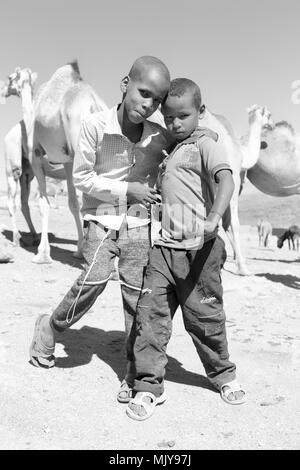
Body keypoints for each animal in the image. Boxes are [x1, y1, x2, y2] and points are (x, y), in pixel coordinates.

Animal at [2, 61, 108, 264]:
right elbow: (73, 203)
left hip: (15, 169)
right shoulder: (68, 161)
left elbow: (44, 204)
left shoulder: (35, 155)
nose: (2, 90)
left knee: (14, 202)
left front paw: (43, 255)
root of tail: (94, 103)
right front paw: (79, 250)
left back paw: (18, 238)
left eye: (10, 78)